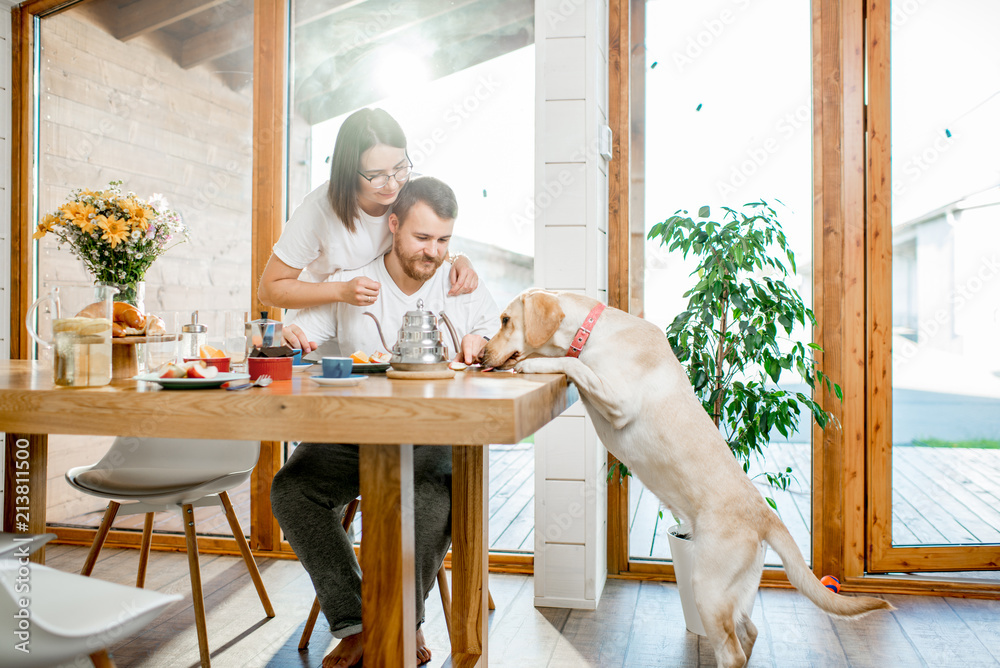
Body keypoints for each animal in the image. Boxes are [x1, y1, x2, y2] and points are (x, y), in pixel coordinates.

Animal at [478, 290, 892, 668]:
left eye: (505, 320)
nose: (480, 356)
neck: (593, 331)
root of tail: (764, 514)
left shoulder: (617, 400)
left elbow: (571, 365)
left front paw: (533, 364)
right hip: (732, 589)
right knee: (749, 631)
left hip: (707, 588)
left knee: (732, 651)